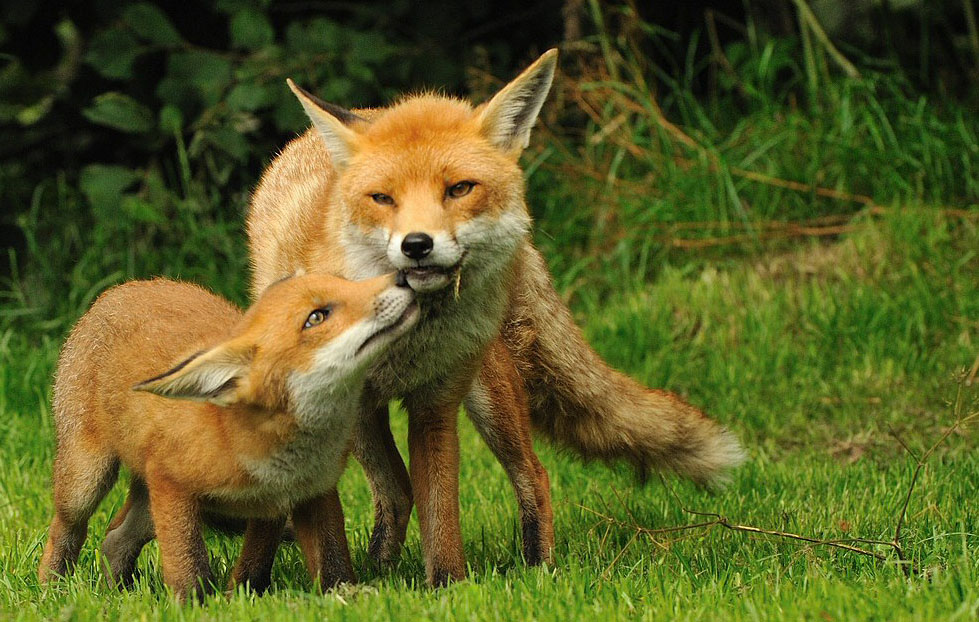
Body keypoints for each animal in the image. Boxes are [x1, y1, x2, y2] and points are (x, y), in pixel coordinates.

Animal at [39, 272, 418, 600]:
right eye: (316, 317)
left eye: (345, 282)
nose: (401, 276)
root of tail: (121, 289)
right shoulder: (170, 481)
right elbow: (187, 563)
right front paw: (196, 606)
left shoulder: (304, 495)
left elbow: (317, 559)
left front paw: (340, 597)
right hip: (88, 480)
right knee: (67, 529)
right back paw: (52, 590)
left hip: (148, 505)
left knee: (114, 539)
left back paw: (116, 592)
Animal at [247, 50, 744, 588]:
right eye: (382, 198)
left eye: (459, 189)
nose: (417, 245)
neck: (405, 340)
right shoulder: (331, 409)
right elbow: (332, 519)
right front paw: (340, 585)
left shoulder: (437, 406)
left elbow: (442, 518)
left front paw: (448, 587)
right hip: (366, 419)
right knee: (396, 490)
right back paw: (379, 570)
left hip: (488, 386)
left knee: (531, 474)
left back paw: (539, 571)